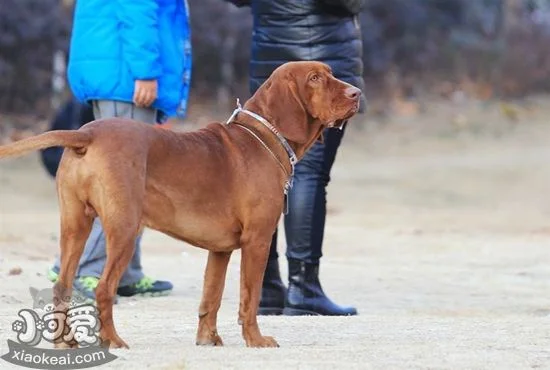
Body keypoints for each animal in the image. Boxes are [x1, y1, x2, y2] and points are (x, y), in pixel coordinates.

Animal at [0, 60, 362, 346]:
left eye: (330, 74)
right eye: (314, 78)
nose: (357, 93)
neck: (263, 138)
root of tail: (86, 134)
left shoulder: (220, 249)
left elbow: (211, 297)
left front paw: (209, 339)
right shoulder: (257, 241)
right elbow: (249, 297)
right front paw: (256, 340)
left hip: (75, 225)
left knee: (61, 285)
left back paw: (66, 342)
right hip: (124, 229)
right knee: (104, 289)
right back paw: (113, 340)